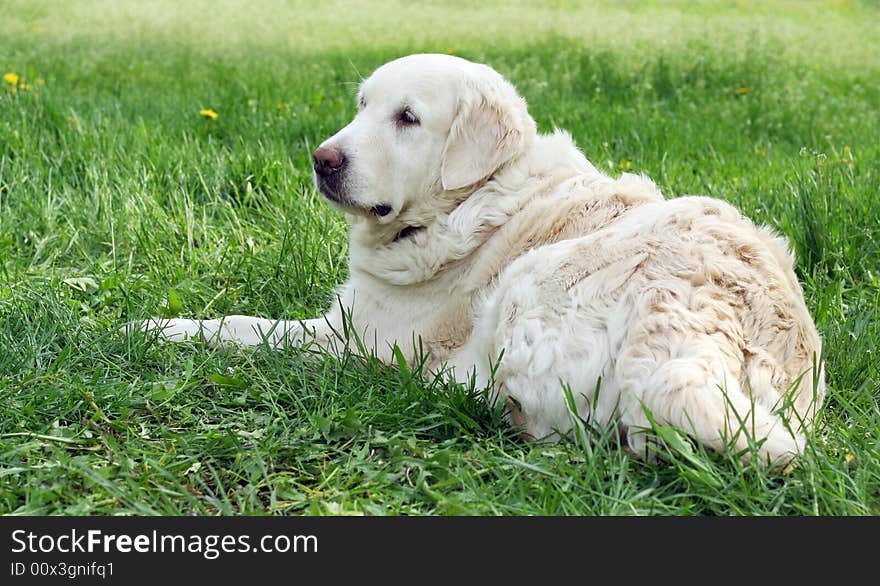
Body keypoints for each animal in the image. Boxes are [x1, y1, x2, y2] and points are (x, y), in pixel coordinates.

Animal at [132, 54, 824, 466]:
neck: (471, 200)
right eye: (363, 105)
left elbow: (248, 327)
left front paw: (156, 328)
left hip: (530, 281)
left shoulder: (349, 334)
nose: (323, 160)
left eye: (408, 118)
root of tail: (710, 328)